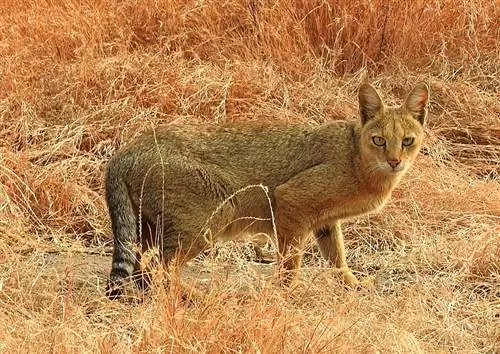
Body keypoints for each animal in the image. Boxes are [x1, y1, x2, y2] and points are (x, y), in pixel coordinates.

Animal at [105, 81, 430, 298]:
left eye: (408, 140)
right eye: (379, 140)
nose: (394, 161)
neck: (357, 159)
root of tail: (126, 150)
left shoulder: (326, 222)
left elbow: (337, 258)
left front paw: (352, 284)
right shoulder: (291, 201)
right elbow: (290, 262)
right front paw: (289, 294)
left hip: (149, 227)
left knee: (142, 268)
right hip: (210, 218)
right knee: (158, 268)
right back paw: (193, 297)